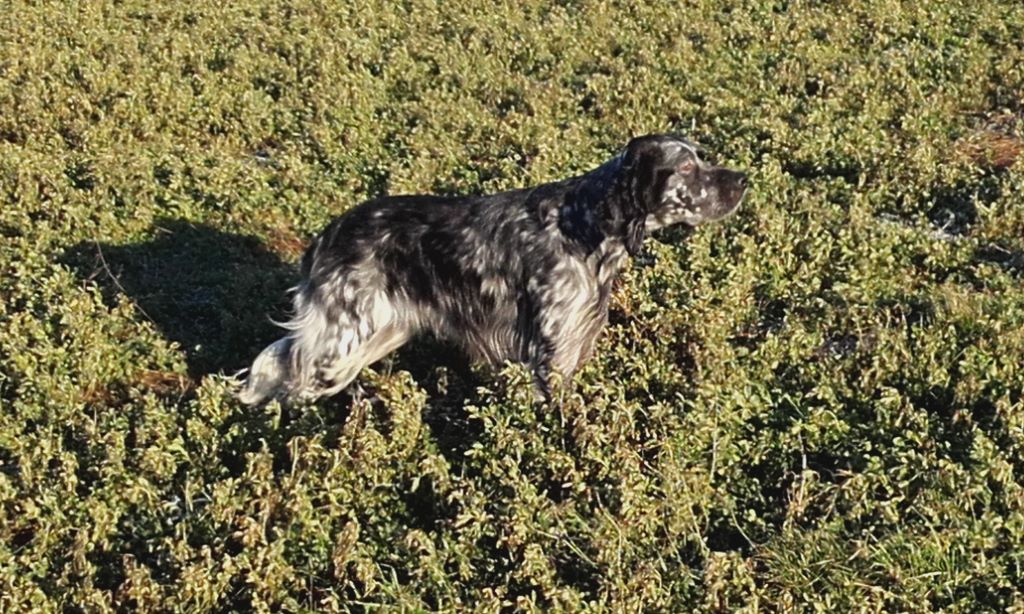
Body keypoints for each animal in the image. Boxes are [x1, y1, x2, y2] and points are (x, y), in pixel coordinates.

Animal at [237, 132, 745, 405]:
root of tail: (326, 236)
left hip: (379, 334)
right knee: (289, 389)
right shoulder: (550, 356)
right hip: (338, 348)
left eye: (702, 156)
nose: (743, 180)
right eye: (686, 167)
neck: (583, 224)